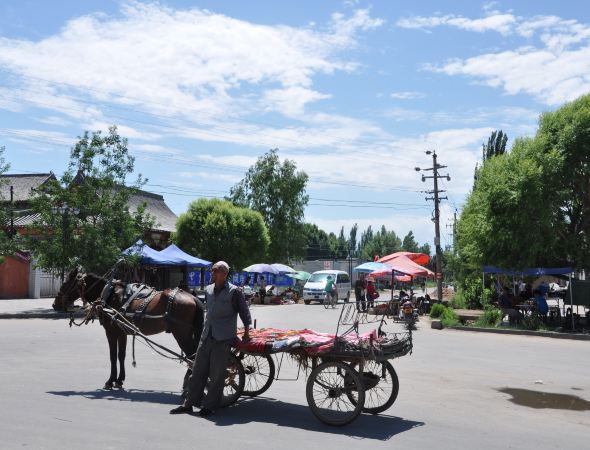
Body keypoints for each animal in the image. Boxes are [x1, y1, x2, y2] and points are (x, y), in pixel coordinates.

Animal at [53, 268, 206, 390]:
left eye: (65, 284)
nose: (55, 304)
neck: (109, 294)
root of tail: (194, 298)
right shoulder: (122, 332)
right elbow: (121, 355)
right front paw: (119, 380)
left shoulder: (111, 332)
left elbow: (113, 355)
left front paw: (110, 381)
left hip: (181, 334)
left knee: (192, 356)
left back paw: (188, 385)